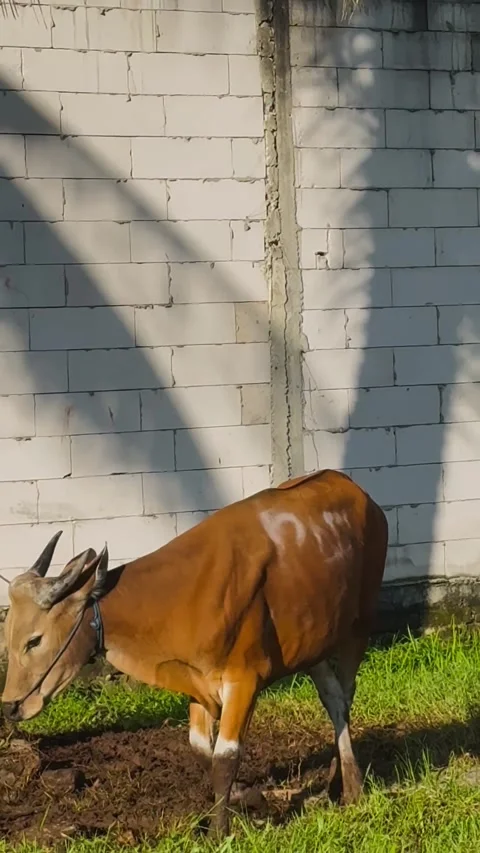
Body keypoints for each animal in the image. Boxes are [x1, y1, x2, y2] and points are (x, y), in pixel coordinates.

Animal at [1, 469, 388, 838]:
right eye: (9, 635)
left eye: (34, 640)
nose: (10, 705)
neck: (179, 596)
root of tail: (358, 492)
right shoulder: (196, 682)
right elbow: (202, 750)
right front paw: (248, 797)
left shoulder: (245, 680)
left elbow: (226, 756)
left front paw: (220, 831)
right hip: (314, 642)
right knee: (332, 696)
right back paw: (336, 780)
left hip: (358, 628)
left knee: (343, 699)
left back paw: (351, 786)